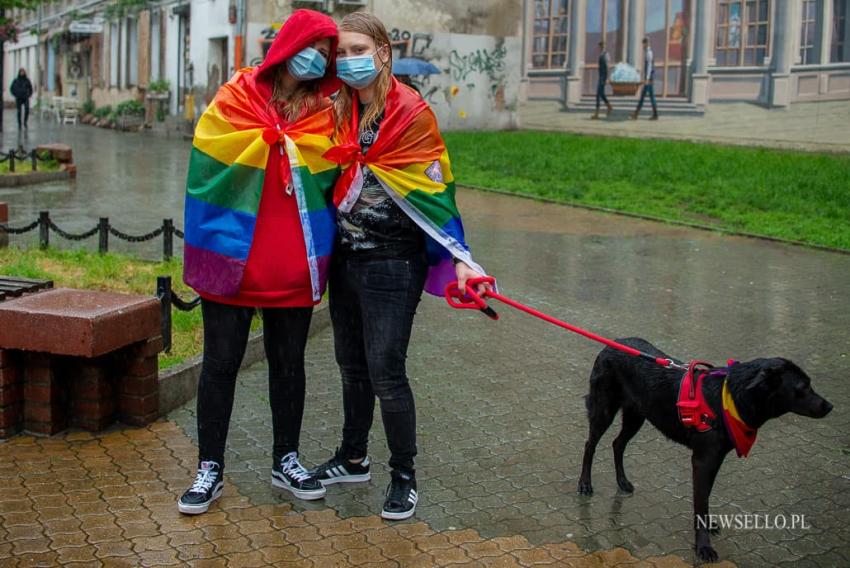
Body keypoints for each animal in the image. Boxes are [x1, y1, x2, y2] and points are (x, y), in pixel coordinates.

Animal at [576, 338, 828, 564]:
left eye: (810, 384)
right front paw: (703, 547)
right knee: (590, 445)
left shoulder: (715, 460)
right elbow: (700, 503)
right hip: (604, 410)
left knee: (617, 444)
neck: (731, 398)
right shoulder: (703, 461)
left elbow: (704, 498)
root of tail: (610, 345)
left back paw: (622, 481)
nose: (830, 406)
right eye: (803, 387)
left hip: (636, 415)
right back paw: (585, 484)